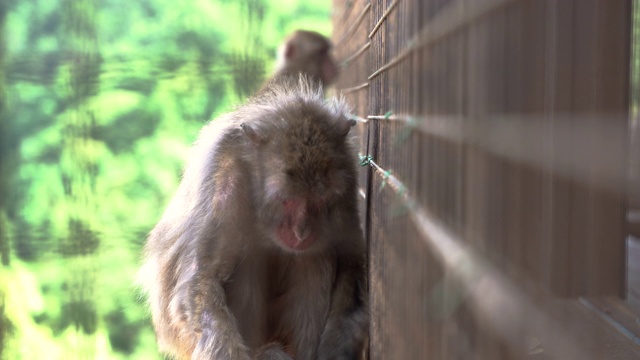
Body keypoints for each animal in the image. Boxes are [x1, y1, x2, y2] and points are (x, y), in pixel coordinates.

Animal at [141, 74, 368, 360]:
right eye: (287, 201)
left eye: (319, 202)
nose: (301, 232)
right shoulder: (225, 177)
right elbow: (202, 281)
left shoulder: (347, 174)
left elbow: (351, 266)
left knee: (314, 257)